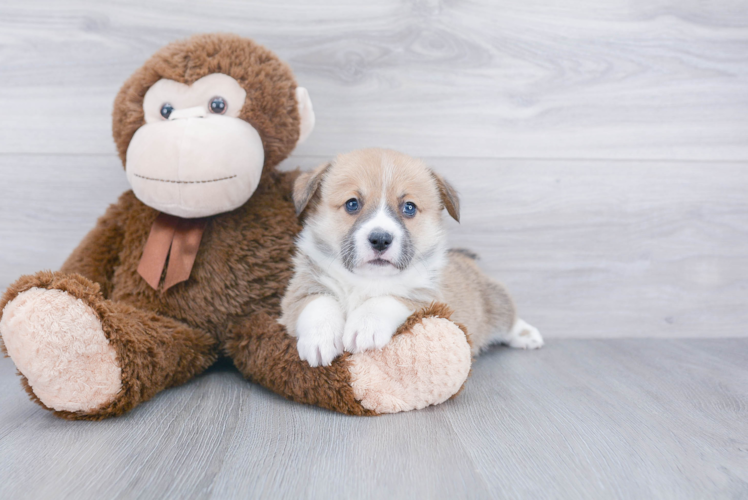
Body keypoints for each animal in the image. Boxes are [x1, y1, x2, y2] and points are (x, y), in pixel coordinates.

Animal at [278, 148, 540, 368]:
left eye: (409, 207)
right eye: (352, 204)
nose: (380, 239)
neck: (367, 280)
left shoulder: (428, 300)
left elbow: (387, 299)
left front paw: (365, 326)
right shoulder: (298, 292)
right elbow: (319, 303)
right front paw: (319, 339)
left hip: (494, 303)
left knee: (508, 317)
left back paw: (527, 335)